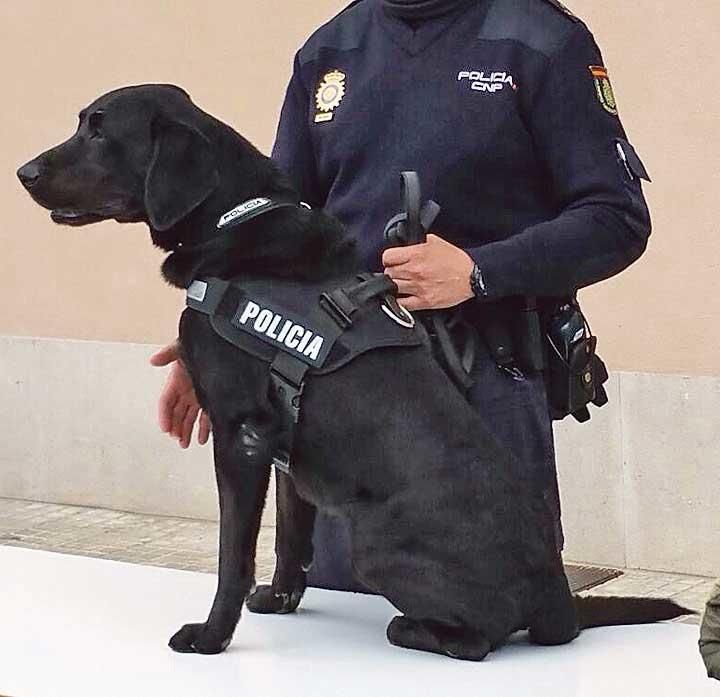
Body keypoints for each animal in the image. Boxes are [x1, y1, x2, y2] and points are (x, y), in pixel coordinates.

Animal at [18, 85, 692, 656]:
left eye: (99, 131)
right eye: (81, 123)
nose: (24, 172)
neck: (235, 220)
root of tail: (560, 600)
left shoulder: (240, 434)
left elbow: (232, 553)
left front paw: (211, 636)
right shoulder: (282, 446)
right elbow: (291, 536)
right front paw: (280, 600)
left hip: (376, 543)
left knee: (480, 640)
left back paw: (411, 627)